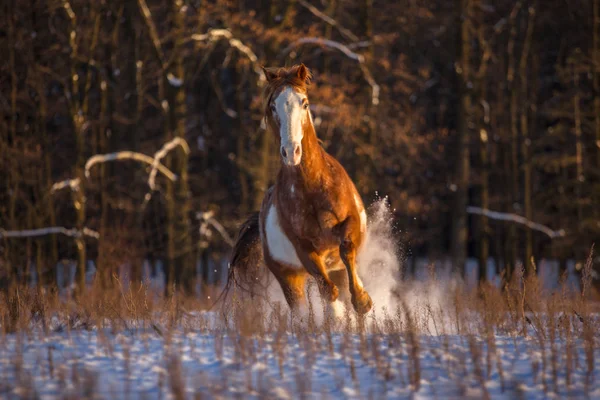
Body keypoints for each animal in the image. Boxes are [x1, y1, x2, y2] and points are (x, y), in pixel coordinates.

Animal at [229, 64, 370, 316]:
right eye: (273, 106)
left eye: (304, 102)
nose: (291, 152)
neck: (313, 188)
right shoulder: (303, 248)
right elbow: (327, 291)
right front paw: (340, 315)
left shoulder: (350, 223)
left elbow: (347, 249)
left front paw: (363, 301)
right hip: (290, 279)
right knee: (307, 306)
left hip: (334, 269)